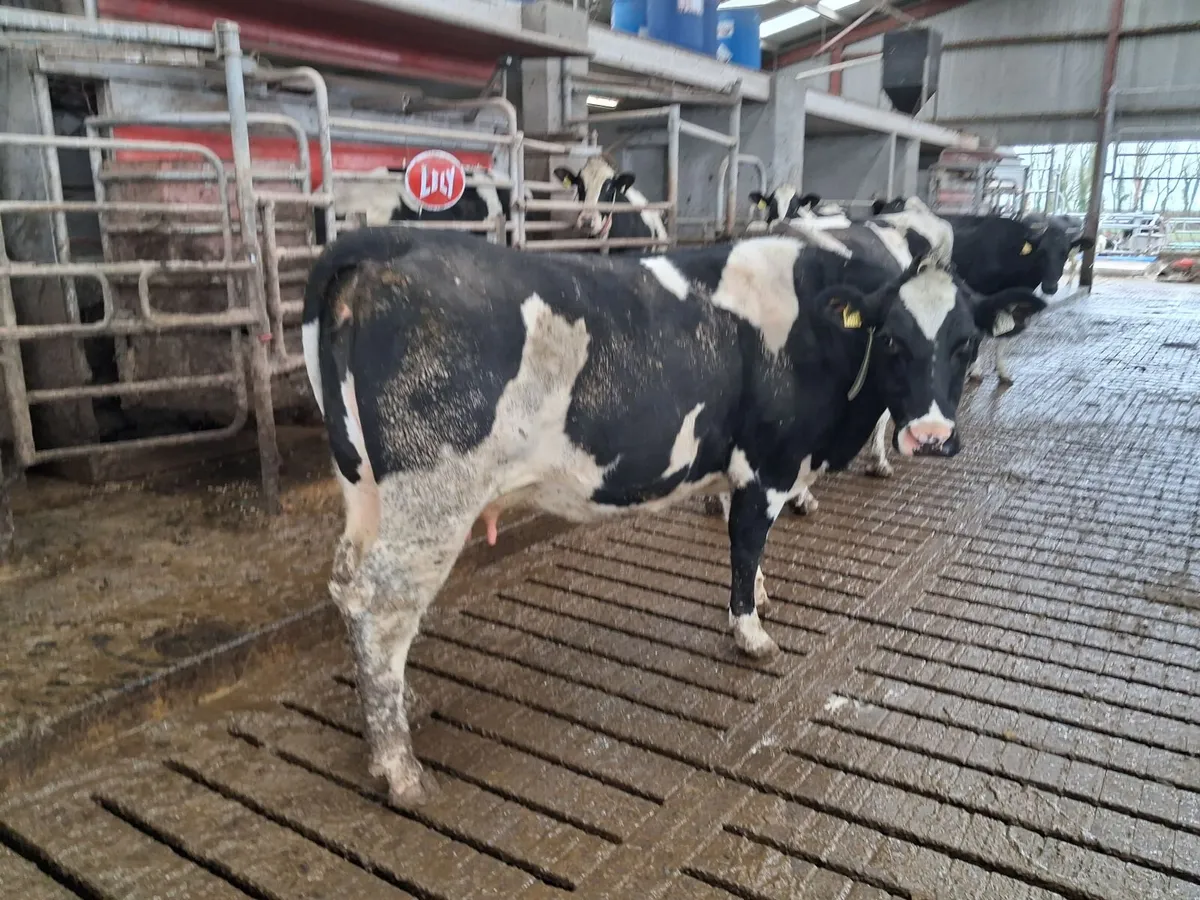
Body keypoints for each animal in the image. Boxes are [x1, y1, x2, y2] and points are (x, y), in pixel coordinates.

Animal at [300, 197, 1046, 804]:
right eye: (891, 339)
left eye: (966, 343)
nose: (931, 435)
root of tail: (391, 244)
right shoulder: (770, 463)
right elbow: (745, 544)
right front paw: (751, 631)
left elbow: (752, 545)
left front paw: (763, 597)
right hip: (432, 495)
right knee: (383, 608)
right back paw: (398, 767)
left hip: (364, 487)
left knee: (349, 589)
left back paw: (402, 705)